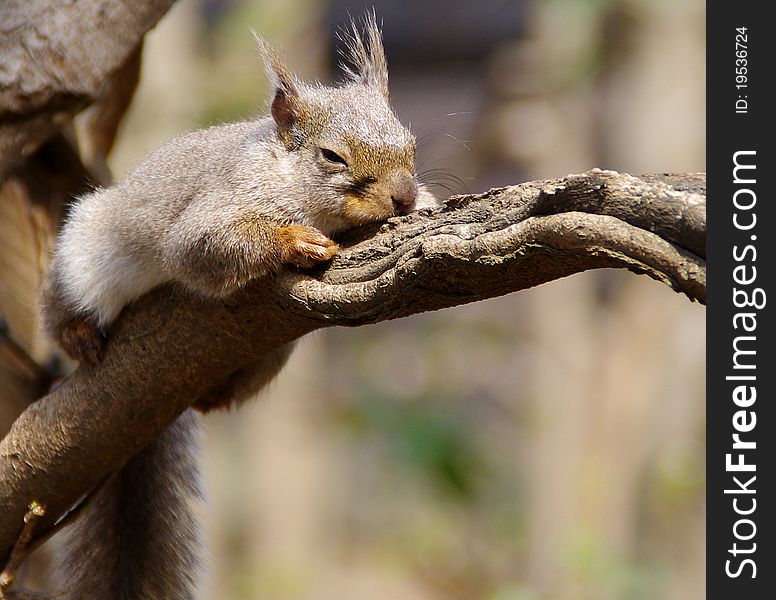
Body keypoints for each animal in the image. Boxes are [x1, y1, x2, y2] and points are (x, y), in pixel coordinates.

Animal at [38, 14, 436, 600]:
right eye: (332, 156)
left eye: (410, 144)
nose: (403, 197)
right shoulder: (215, 209)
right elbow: (203, 246)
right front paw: (296, 241)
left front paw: (425, 204)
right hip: (78, 259)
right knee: (57, 310)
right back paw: (78, 333)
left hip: (271, 354)